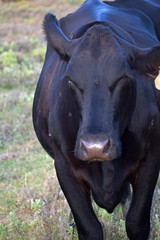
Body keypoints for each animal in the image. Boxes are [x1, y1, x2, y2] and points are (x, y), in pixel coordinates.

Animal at [32, 0, 160, 240]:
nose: (95, 147)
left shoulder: (150, 160)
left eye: (123, 78)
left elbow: (137, 223)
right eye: (70, 80)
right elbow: (89, 227)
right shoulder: (64, 166)